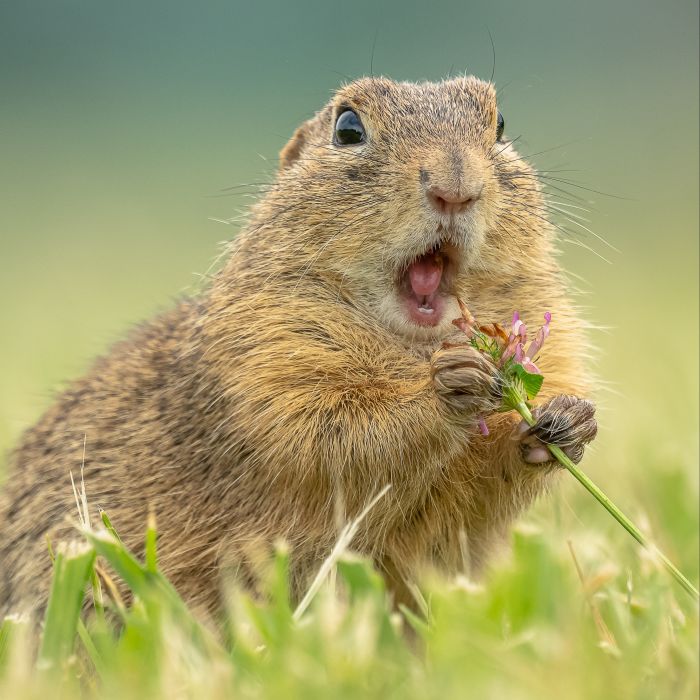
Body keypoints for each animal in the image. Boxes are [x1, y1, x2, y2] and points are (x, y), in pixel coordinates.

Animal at [2, 76, 600, 616]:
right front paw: (451, 387)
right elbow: (330, 435)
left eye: (498, 125)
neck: (414, 345)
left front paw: (567, 420)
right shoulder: (263, 356)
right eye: (348, 128)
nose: (456, 186)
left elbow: (480, 494)